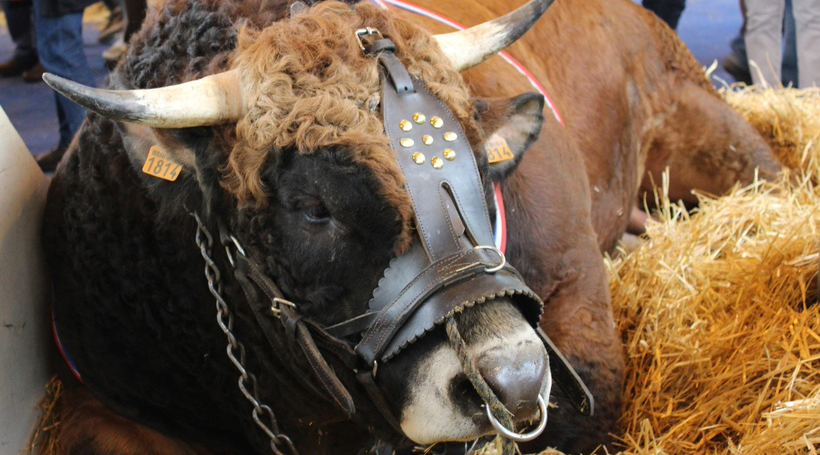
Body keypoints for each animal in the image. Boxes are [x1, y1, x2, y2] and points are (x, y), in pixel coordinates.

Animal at [40, 0, 780, 455]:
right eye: (314, 207)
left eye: (481, 164)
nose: (512, 378)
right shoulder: (104, 403)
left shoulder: (577, 308)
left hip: (713, 133)